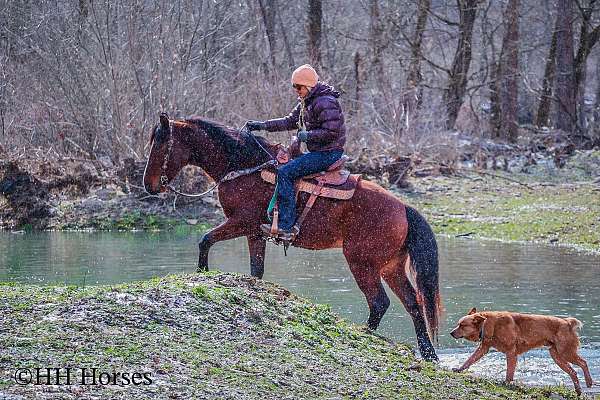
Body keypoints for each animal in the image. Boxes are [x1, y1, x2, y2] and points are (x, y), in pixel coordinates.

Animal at [141, 113, 440, 362]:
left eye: (160, 144)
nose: (149, 185)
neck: (244, 165)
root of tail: (403, 208)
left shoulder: (242, 222)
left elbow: (205, 239)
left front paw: (202, 270)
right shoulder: (255, 232)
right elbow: (256, 270)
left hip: (361, 262)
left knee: (379, 302)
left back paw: (366, 332)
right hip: (390, 267)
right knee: (414, 304)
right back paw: (429, 354)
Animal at [448, 308, 592, 396]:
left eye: (462, 325)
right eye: (458, 324)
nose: (451, 333)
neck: (488, 324)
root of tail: (567, 322)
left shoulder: (511, 353)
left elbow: (509, 372)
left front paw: (507, 383)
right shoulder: (483, 348)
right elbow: (469, 360)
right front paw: (459, 369)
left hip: (565, 352)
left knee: (583, 362)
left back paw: (589, 382)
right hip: (557, 356)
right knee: (573, 371)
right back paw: (578, 390)